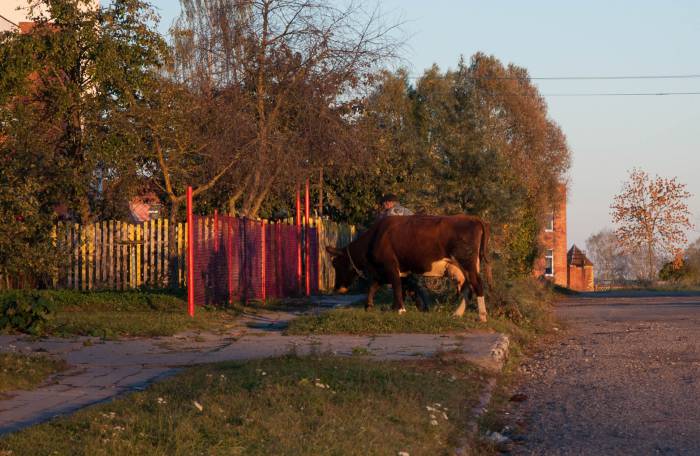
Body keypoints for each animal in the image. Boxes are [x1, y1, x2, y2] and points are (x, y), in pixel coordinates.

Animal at [328, 216, 492, 322]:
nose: (337, 288)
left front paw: (400, 309)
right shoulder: (391, 271)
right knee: (467, 287)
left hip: (467, 263)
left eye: (336, 264)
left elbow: (396, 287)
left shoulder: (390, 266)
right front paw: (370, 306)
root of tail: (474, 219)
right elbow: (377, 286)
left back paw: (482, 316)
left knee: (477, 284)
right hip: (463, 266)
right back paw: (457, 314)